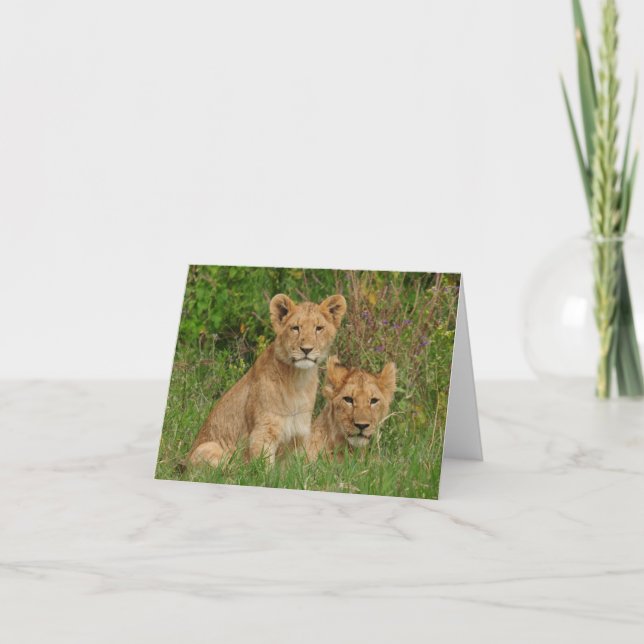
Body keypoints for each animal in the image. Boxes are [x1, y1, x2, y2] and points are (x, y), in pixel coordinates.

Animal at [186, 293, 347, 467]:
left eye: (318, 328)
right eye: (295, 328)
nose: (306, 350)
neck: (299, 380)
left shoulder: (297, 436)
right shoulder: (263, 433)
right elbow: (262, 469)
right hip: (208, 447)